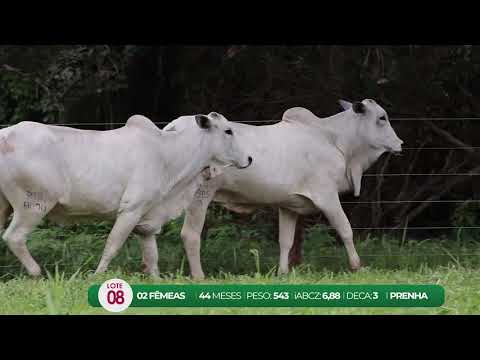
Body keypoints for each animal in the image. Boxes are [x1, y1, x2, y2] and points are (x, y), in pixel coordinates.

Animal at [0, 112, 253, 276]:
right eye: (228, 131)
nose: (249, 159)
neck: (169, 155)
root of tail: (5, 134)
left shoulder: (147, 221)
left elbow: (152, 258)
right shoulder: (131, 210)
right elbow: (113, 245)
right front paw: (97, 275)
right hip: (34, 204)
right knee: (14, 237)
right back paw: (36, 272)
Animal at [164, 98, 402, 278]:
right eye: (382, 118)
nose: (400, 143)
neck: (334, 139)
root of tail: (175, 126)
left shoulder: (289, 205)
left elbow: (285, 241)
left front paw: (283, 272)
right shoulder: (327, 196)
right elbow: (345, 230)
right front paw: (356, 266)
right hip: (200, 195)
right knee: (190, 235)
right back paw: (199, 276)